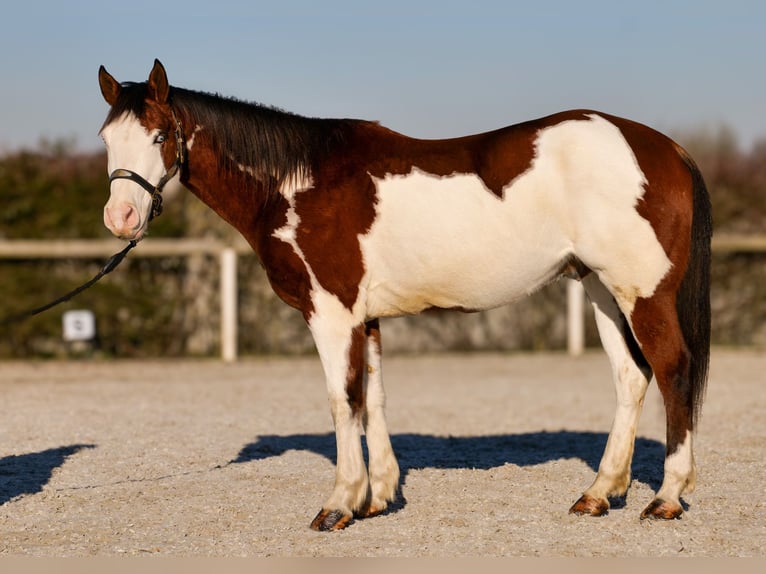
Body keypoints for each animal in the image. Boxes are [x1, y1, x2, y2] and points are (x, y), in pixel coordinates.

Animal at [97, 60, 712, 532]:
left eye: (160, 136)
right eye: (106, 139)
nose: (120, 217)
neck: (296, 182)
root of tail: (666, 148)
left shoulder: (331, 313)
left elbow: (342, 400)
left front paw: (339, 504)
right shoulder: (365, 318)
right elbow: (374, 398)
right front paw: (377, 498)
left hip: (643, 292)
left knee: (673, 371)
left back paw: (666, 498)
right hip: (601, 288)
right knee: (631, 377)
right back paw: (599, 493)